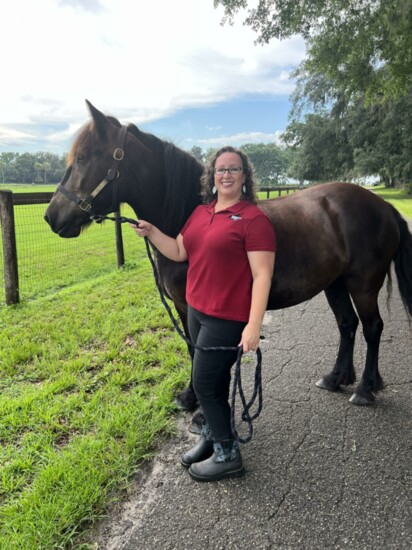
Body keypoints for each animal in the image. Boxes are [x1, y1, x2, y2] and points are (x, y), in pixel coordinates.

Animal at [44, 101, 412, 410]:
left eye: (83, 158)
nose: (51, 216)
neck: (185, 216)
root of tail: (383, 206)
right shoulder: (185, 308)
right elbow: (191, 348)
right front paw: (190, 397)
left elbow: (199, 350)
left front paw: (201, 406)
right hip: (334, 283)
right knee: (347, 324)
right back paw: (335, 378)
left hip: (363, 284)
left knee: (372, 327)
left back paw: (364, 389)